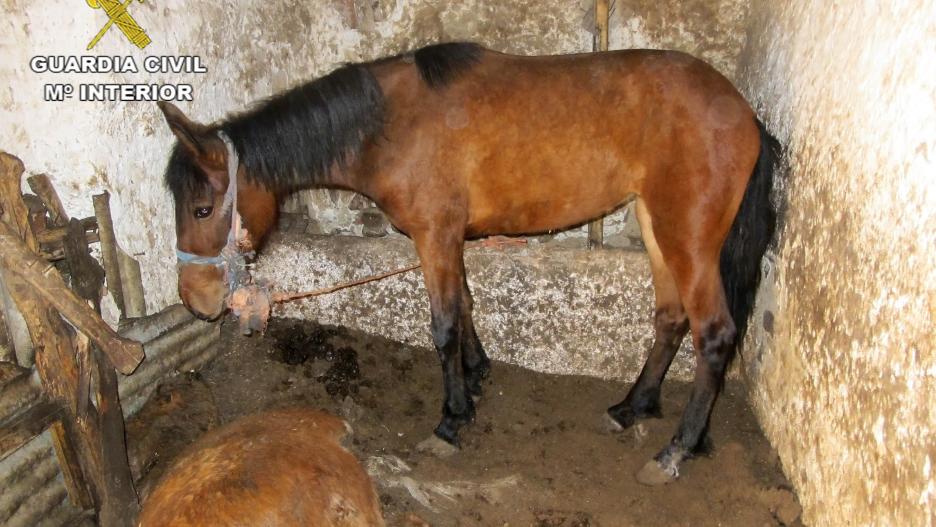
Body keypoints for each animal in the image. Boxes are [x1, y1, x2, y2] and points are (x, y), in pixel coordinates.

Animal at [157, 43, 780, 484]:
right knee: (670, 319)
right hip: (655, 228)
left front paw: (452, 418)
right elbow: (467, 306)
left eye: (203, 207)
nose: (195, 299)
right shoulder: (451, 237)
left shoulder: (434, 235)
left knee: (713, 334)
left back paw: (677, 448)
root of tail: (746, 114)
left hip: (687, 240)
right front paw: (477, 376)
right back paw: (633, 407)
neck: (389, 125)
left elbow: (444, 325)